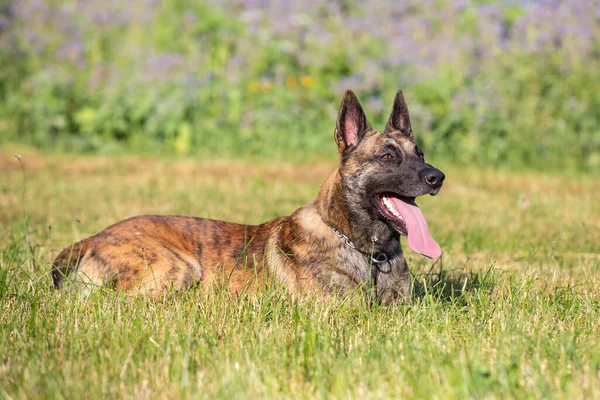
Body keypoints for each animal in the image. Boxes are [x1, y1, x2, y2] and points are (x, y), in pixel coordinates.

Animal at [51, 90, 446, 304]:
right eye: (388, 157)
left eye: (420, 153)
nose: (437, 177)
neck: (367, 252)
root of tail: (92, 238)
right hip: (177, 268)